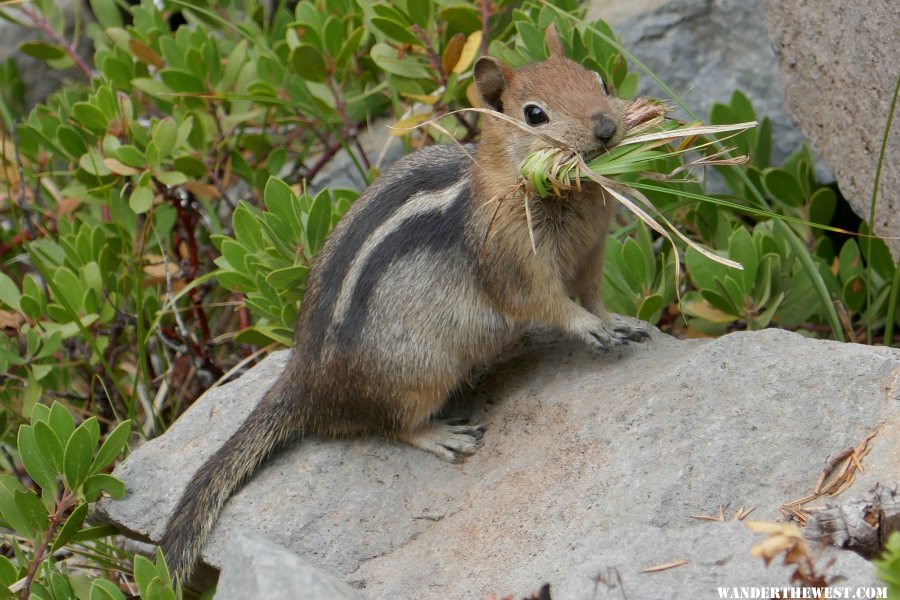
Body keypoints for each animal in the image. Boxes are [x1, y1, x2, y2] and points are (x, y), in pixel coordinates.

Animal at [160, 24, 648, 580]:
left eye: (599, 78)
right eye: (534, 114)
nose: (607, 128)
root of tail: (303, 380)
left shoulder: (593, 250)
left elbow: (594, 293)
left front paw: (619, 321)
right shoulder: (514, 262)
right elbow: (549, 304)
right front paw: (588, 327)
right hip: (419, 373)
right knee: (391, 425)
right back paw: (441, 435)